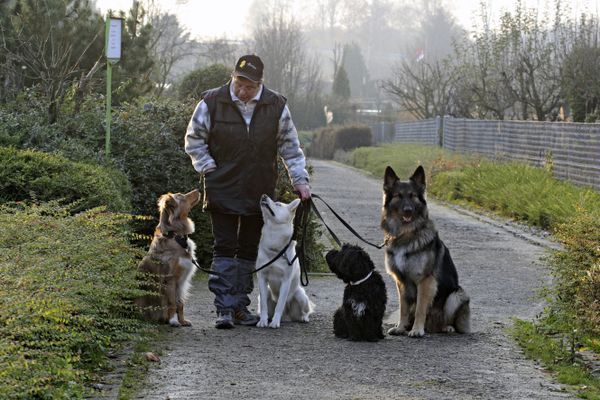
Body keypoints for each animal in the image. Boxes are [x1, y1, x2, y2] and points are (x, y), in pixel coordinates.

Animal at [135, 190, 200, 324]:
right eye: (181, 196)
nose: (198, 190)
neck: (175, 236)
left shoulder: (181, 282)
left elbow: (180, 303)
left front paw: (182, 321)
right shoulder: (170, 279)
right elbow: (172, 303)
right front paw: (173, 321)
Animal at [256, 194, 316, 328]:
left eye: (278, 204)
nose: (263, 195)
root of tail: (287, 316)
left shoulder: (286, 281)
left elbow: (280, 304)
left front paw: (275, 323)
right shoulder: (262, 277)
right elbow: (264, 306)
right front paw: (263, 321)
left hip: (300, 295)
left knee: (306, 310)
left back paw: (303, 318)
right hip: (267, 293)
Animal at [382, 166, 472, 338]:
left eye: (413, 196)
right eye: (398, 196)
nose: (408, 211)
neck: (406, 234)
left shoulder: (425, 281)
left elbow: (420, 308)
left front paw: (417, 330)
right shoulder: (401, 282)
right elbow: (403, 309)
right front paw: (401, 327)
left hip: (457, 294)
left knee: (446, 320)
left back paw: (445, 327)